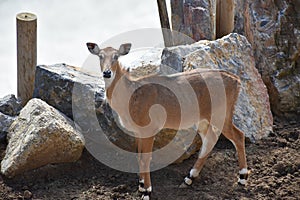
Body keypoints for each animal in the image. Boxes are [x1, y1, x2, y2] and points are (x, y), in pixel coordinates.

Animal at [86, 41, 248, 199]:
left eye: (116, 56)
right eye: (100, 56)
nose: (107, 73)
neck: (129, 98)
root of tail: (237, 81)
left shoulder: (149, 127)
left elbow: (145, 158)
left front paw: (147, 191)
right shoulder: (138, 131)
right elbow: (138, 156)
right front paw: (141, 186)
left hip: (222, 114)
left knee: (238, 135)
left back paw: (242, 178)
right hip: (203, 119)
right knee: (211, 138)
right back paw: (188, 179)